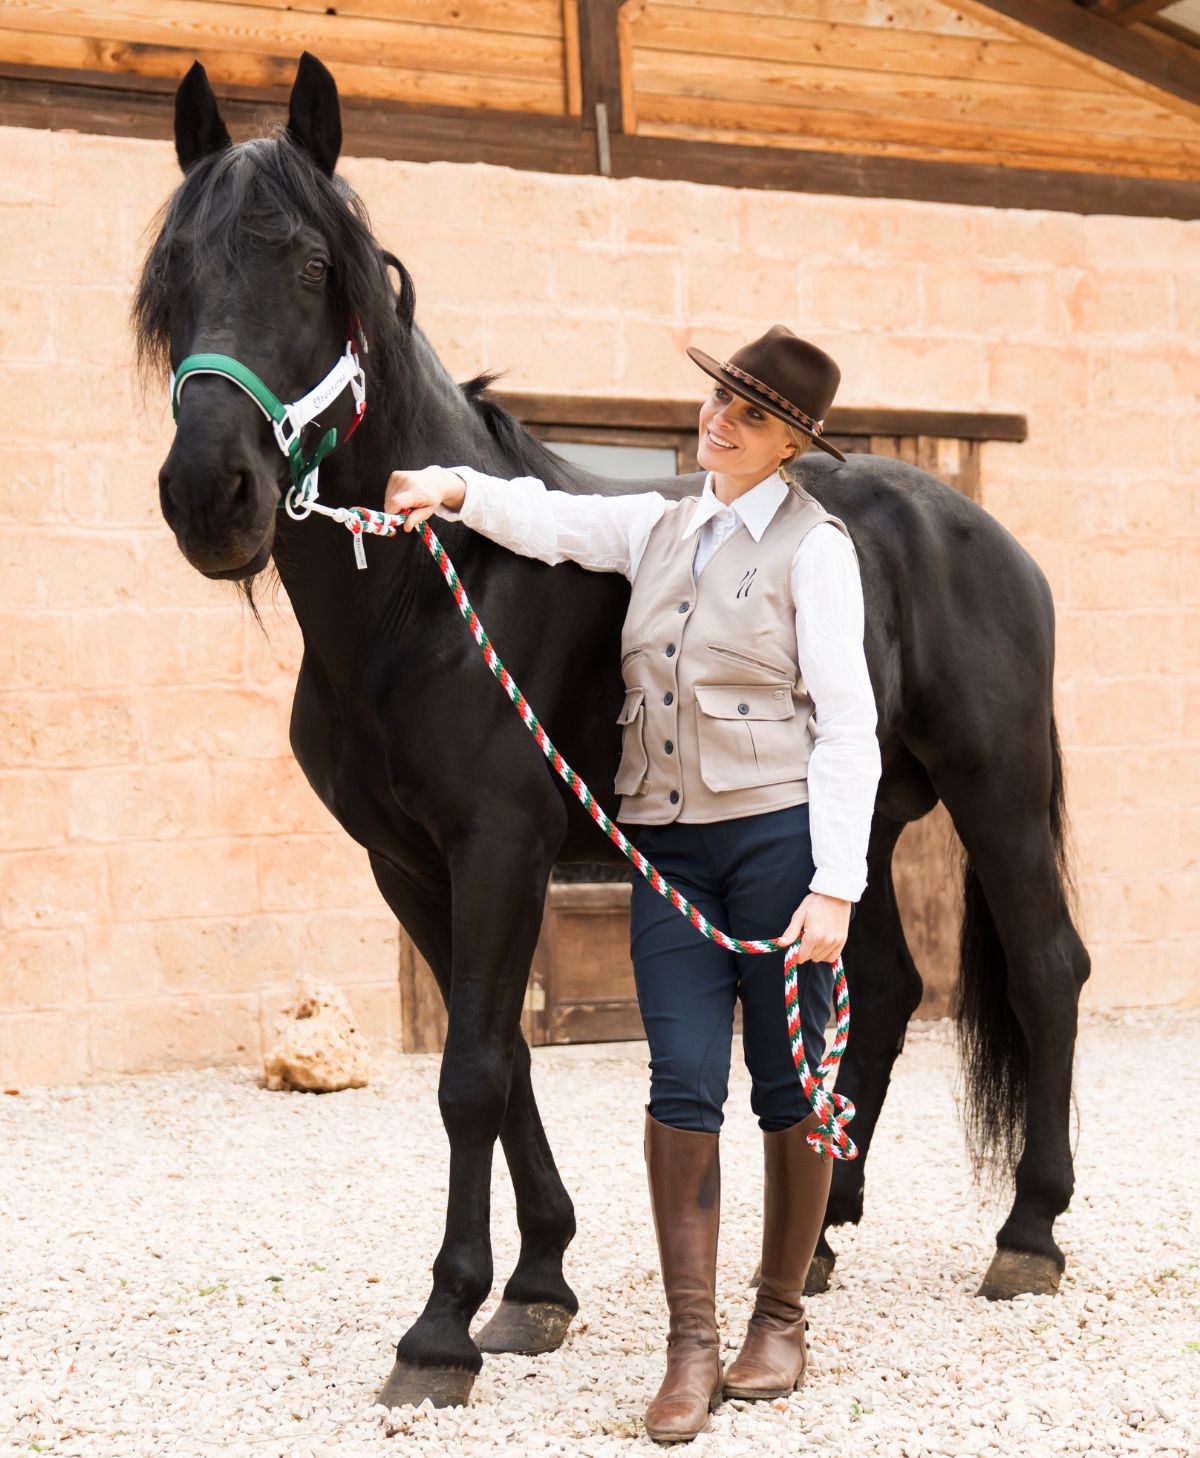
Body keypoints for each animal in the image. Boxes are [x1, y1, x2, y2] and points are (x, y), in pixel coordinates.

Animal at [135, 51, 1091, 1410]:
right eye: (173, 275)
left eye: (313, 266)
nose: (210, 495)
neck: (431, 592)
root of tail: (972, 526)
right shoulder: (407, 867)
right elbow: (506, 1065)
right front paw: (538, 1284)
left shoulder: (498, 848)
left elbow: (473, 1073)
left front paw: (441, 1328)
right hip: (852, 816)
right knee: (879, 987)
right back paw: (827, 1226)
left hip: (995, 791)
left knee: (1050, 968)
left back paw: (1030, 1233)